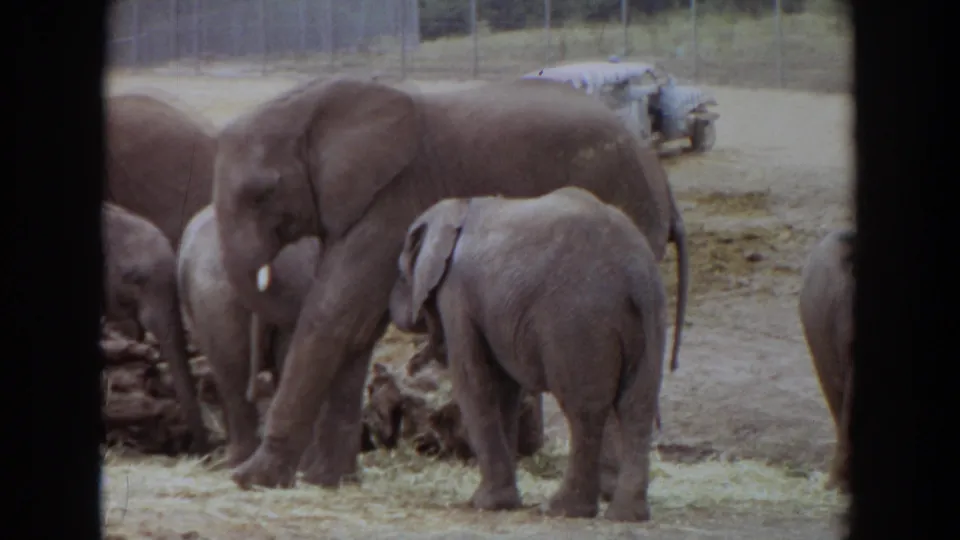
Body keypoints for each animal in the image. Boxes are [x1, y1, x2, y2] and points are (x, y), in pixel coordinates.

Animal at [388, 187, 669, 522]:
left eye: (402, 275)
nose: (410, 366)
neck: (457, 207)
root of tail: (634, 269)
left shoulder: (456, 293)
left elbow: (475, 382)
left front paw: (485, 503)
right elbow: (505, 389)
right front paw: (504, 500)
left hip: (577, 321)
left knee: (584, 411)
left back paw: (563, 509)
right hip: (650, 314)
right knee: (637, 404)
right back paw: (626, 513)